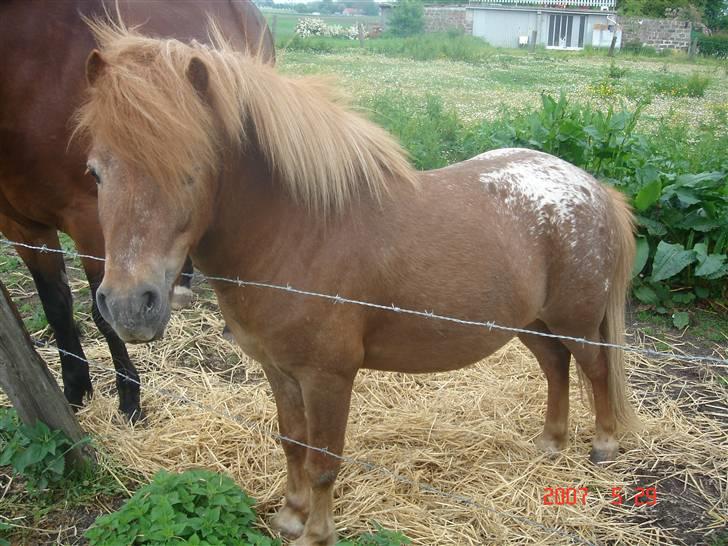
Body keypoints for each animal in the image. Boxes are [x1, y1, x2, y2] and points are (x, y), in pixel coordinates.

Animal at [0, 0, 272, 418]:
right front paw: (74, 392)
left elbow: (103, 315)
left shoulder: (88, 221)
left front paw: (129, 398)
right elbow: (56, 307)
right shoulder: (21, 226)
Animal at [77, 24, 640, 544]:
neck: (298, 233)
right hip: (530, 323)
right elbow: (292, 442)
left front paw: (316, 532)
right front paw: (291, 515)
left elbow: (324, 458)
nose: (128, 305)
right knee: (556, 367)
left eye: (191, 171)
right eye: (95, 173)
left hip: (574, 321)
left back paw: (604, 445)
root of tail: (593, 187)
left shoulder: (328, 377)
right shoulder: (280, 371)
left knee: (594, 369)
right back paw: (551, 441)